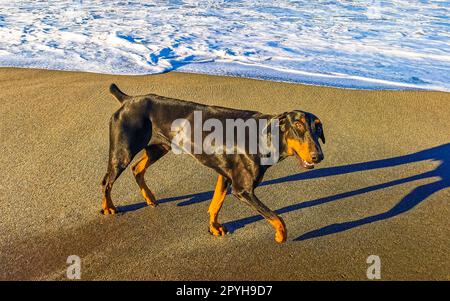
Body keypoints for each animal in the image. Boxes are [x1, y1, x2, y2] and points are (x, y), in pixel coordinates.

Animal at [100, 83, 324, 243]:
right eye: (297, 125)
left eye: (318, 128)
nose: (318, 156)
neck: (265, 136)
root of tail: (128, 100)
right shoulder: (242, 189)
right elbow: (277, 217)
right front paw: (281, 235)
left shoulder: (225, 176)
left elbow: (216, 204)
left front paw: (214, 227)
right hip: (122, 153)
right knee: (106, 181)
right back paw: (108, 207)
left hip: (159, 147)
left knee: (137, 169)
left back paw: (149, 198)